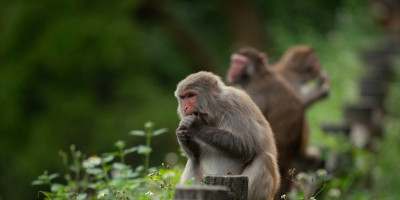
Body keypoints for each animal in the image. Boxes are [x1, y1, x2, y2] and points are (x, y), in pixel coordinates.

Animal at [173, 71, 280, 200]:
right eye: (183, 97)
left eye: (191, 95)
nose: (185, 108)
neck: (214, 111)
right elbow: (195, 155)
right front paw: (182, 135)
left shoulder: (234, 104)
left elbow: (246, 146)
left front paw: (196, 126)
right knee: (194, 160)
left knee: (264, 159)